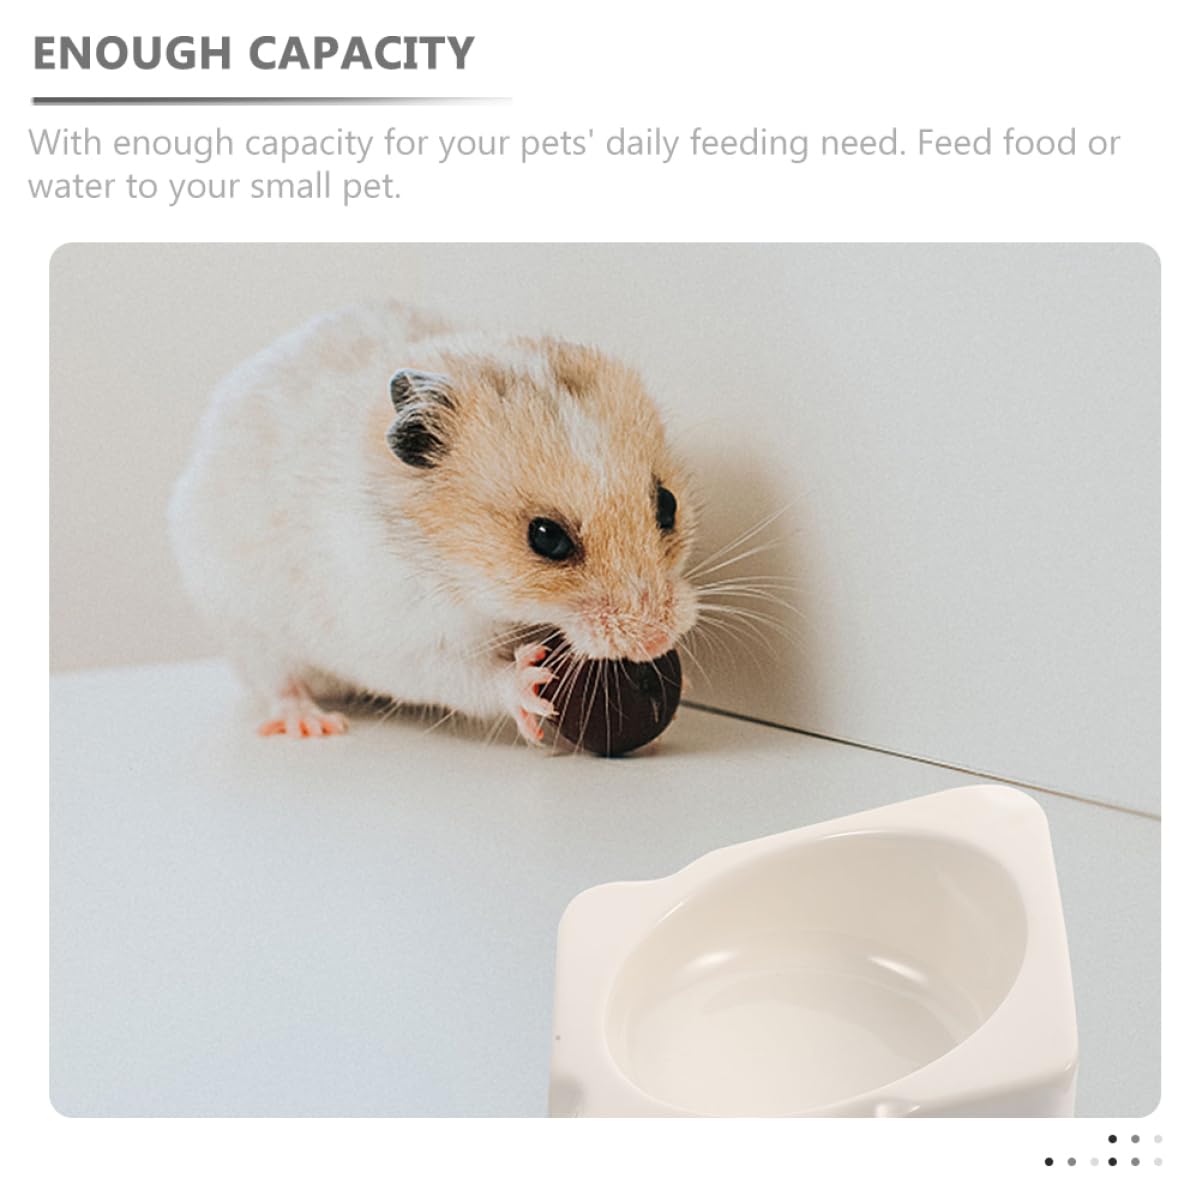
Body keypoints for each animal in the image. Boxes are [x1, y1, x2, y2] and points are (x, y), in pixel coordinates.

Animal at [168, 302, 699, 743]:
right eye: (546, 537)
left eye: (667, 505)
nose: (654, 640)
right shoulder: (401, 640)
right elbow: (464, 676)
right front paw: (530, 685)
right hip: (246, 627)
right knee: (278, 681)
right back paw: (313, 724)